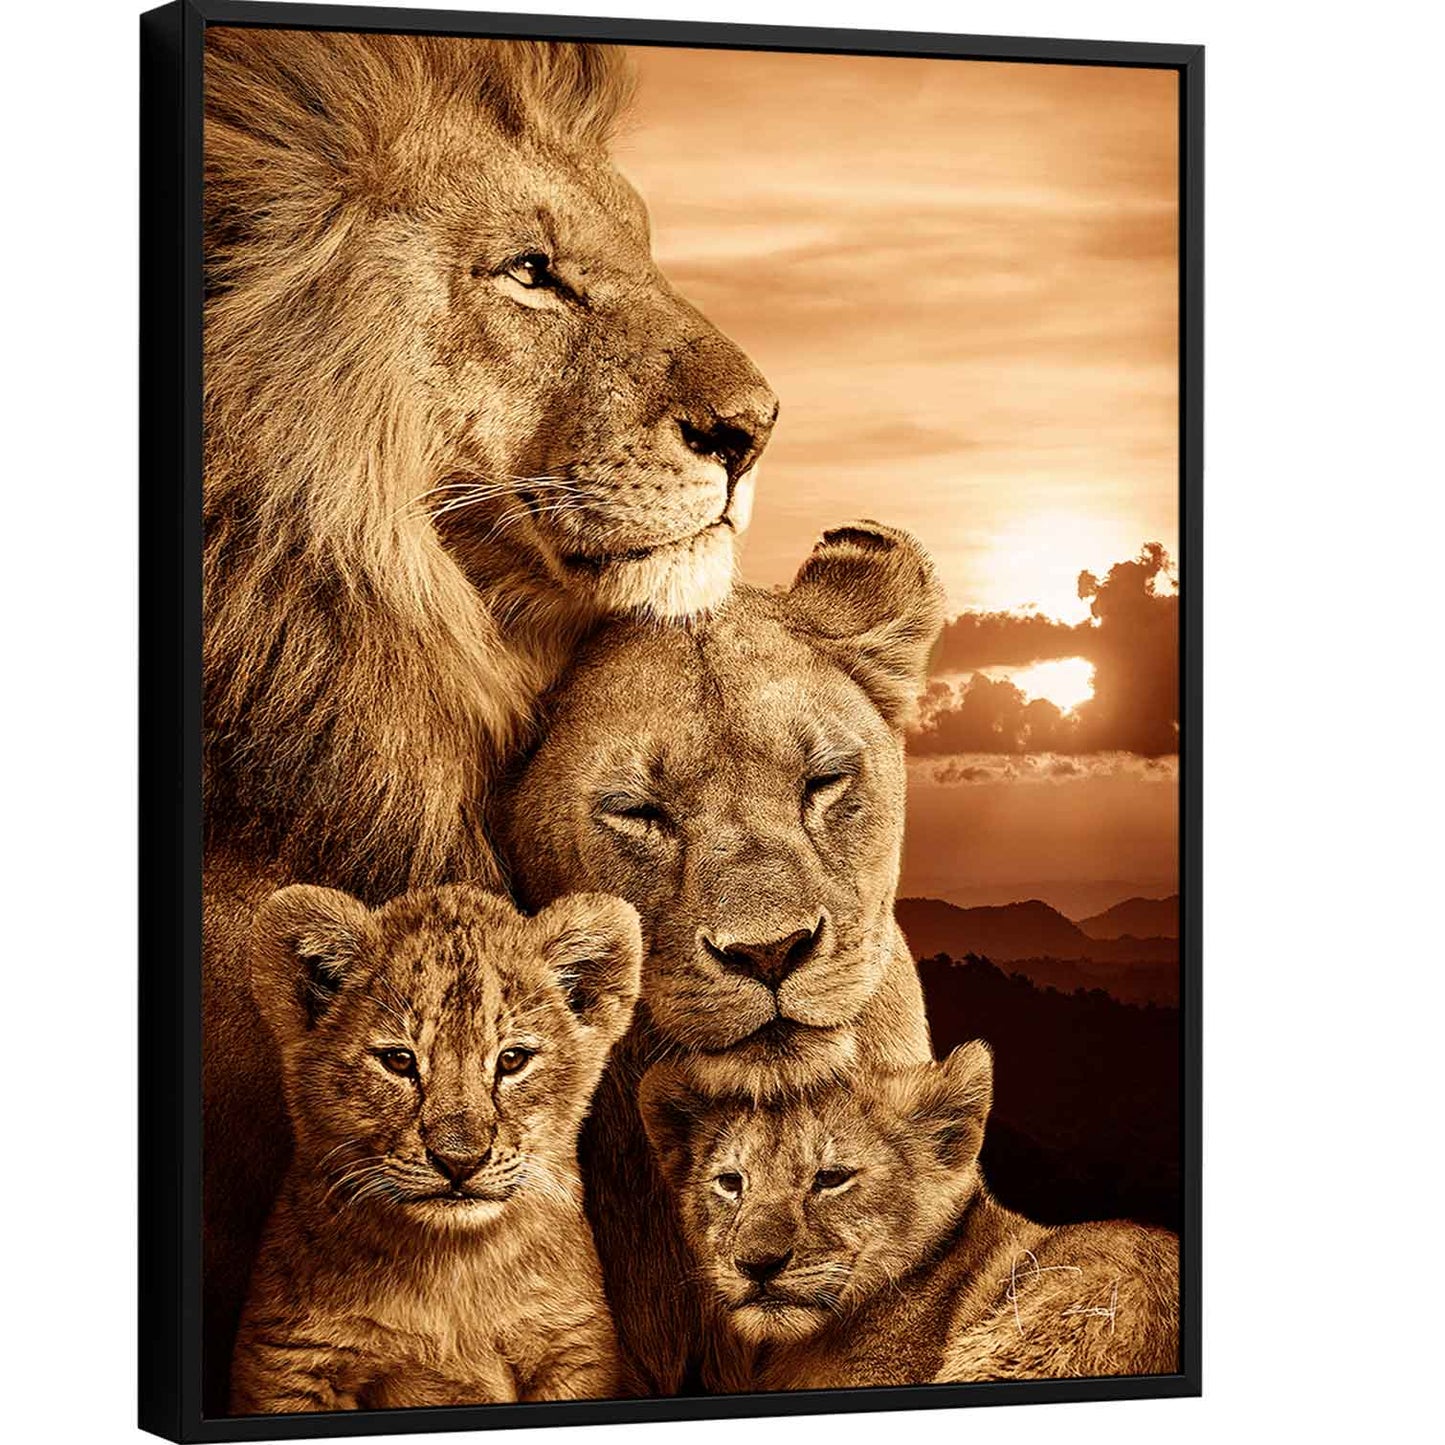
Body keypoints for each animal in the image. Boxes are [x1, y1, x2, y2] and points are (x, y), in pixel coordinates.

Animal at [232, 882, 641, 1414]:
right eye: (399, 1060)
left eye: (513, 1059)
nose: (459, 1161)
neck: (450, 1268)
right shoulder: (291, 1361)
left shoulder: (572, 1348)